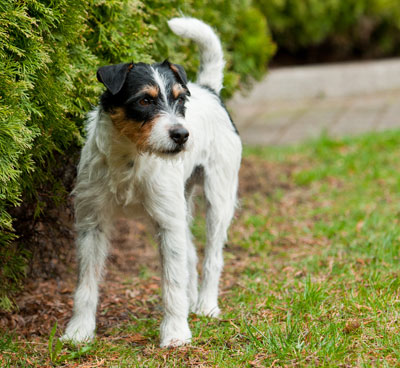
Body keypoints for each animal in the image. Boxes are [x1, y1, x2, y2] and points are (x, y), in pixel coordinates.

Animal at [63, 15, 241, 346]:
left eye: (179, 100)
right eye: (145, 100)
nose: (181, 135)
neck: (131, 159)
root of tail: (208, 89)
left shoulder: (167, 222)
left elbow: (172, 283)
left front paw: (175, 332)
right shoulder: (92, 222)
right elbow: (86, 284)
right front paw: (79, 330)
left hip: (218, 198)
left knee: (212, 257)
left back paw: (206, 305)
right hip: (182, 205)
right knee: (191, 255)